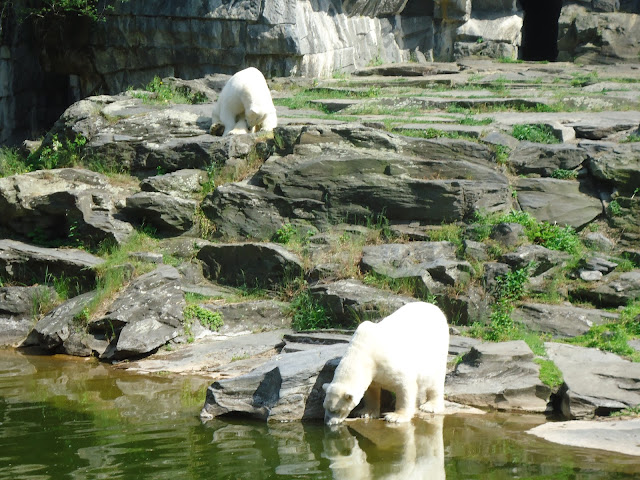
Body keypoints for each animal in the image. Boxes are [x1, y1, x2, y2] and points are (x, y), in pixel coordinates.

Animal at [320, 302, 450, 426]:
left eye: (336, 410)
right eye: (325, 407)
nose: (327, 422)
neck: (362, 351)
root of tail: (436, 308)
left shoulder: (389, 361)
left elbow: (405, 385)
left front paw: (395, 416)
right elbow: (371, 389)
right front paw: (366, 413)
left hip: (436, 350)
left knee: (435, 379)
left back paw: (430, 406)